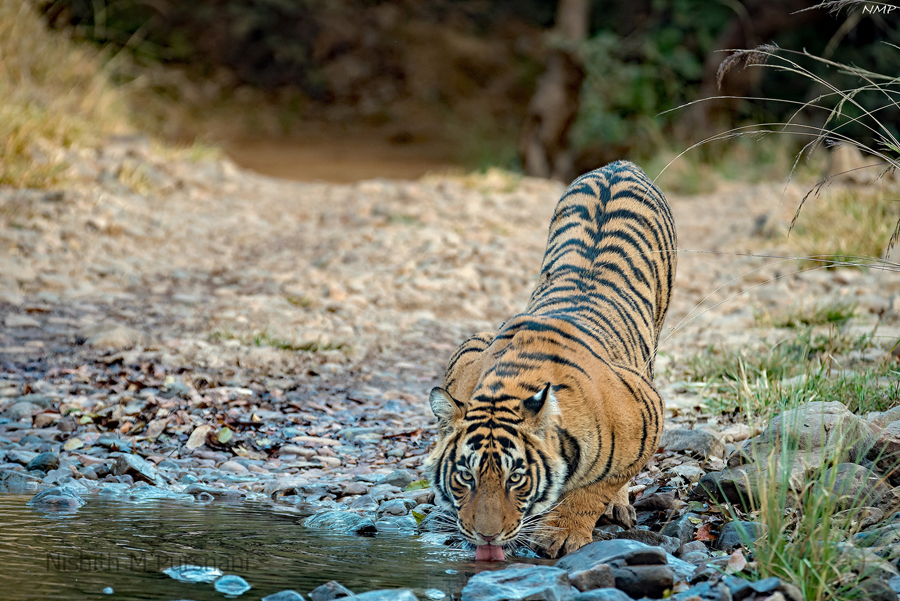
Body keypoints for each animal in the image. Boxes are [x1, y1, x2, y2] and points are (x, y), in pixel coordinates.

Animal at [423, 160, 676, 559]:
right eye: (466, 476)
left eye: (516, 479)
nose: (486, 536)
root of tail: (618, 165)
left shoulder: (647, 409)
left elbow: (597, 488)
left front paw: (564, 533)